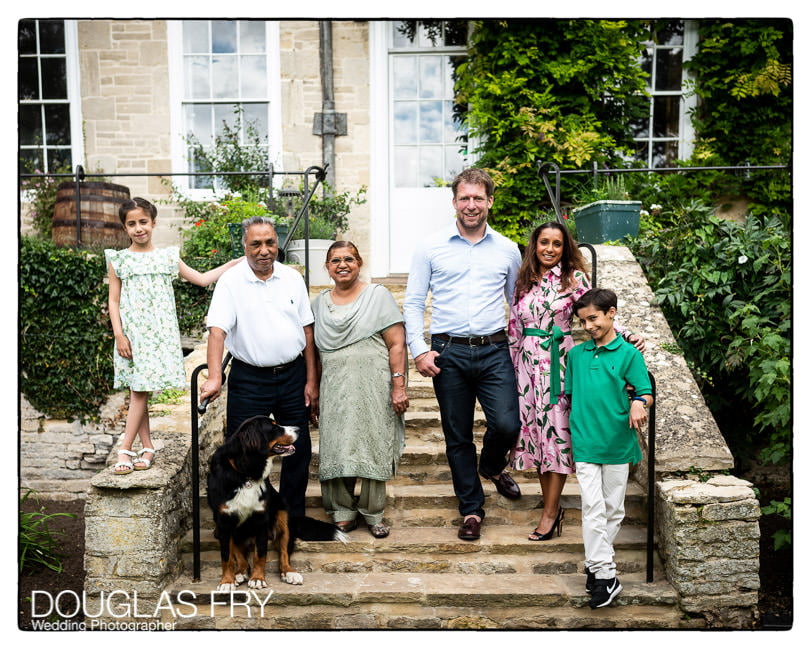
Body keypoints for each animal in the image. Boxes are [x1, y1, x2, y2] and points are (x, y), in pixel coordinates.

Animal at [206, 412, 346, 588]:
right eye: (274, 428)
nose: (299, 429)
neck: (246, 474)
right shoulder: (224, 522)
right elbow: (226, 557)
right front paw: (226, 581)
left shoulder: (261, 519)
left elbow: (261, 554)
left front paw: (258, 578)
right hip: (221, 530)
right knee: (241, 557)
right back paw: (240, 573)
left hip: (282, 517)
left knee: (284, 553)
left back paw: (290, 573)